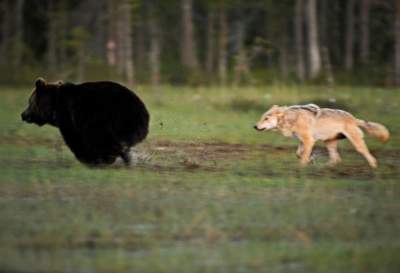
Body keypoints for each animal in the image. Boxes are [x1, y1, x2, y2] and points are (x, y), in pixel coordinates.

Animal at [20, 77, 148, 165]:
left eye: (29, 102)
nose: (23, 115)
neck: (54, 106)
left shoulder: (69, 116)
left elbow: (75, 139)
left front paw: (89, 159)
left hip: (105, 117)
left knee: (101, 138)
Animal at [255, 104, 390, 167]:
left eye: (266, 118)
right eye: (262, 118)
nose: (255, 126)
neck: (291, 119)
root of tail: (353, 118)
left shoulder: (309, 141)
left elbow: (302, 157)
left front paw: (301, 169)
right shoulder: (303, 141)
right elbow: (299, 154)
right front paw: (310, 161)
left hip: (356, 144)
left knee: (368, 155)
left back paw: (373, 167)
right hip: (328, 143)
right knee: (337, 159)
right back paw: (325, 167)